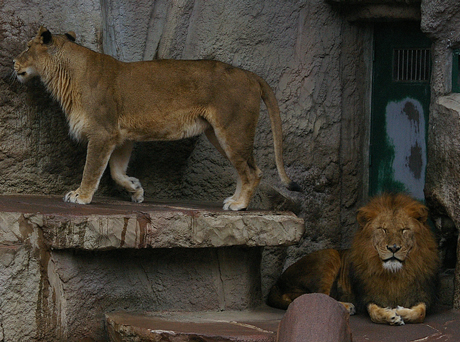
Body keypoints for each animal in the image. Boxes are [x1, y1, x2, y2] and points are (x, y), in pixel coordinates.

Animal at [12, 26, 300, 210]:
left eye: (27, 47)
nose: (14, 62)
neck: (68, 72)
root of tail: (250, 74)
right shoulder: (121, 136)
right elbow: (116, 171)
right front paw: (135, 189)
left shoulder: (103, 132)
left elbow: (92, 169)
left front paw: (80, 196)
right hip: (218, 134)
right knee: (245, 170)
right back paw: (234, 200)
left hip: (233, 129)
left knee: (252, 171)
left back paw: (239, 205)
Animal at [268, 194, 440, 324]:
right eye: (383, 229)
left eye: (404, 230)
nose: (393, 248)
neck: (394, 273)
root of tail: (276, 283)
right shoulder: (367, 296)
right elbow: (374, 312)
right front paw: (390, 315)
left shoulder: (423, 294)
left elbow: (420, 313)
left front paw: (401, 311)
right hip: (329, 256)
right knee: (317, 297)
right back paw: (346, 307)